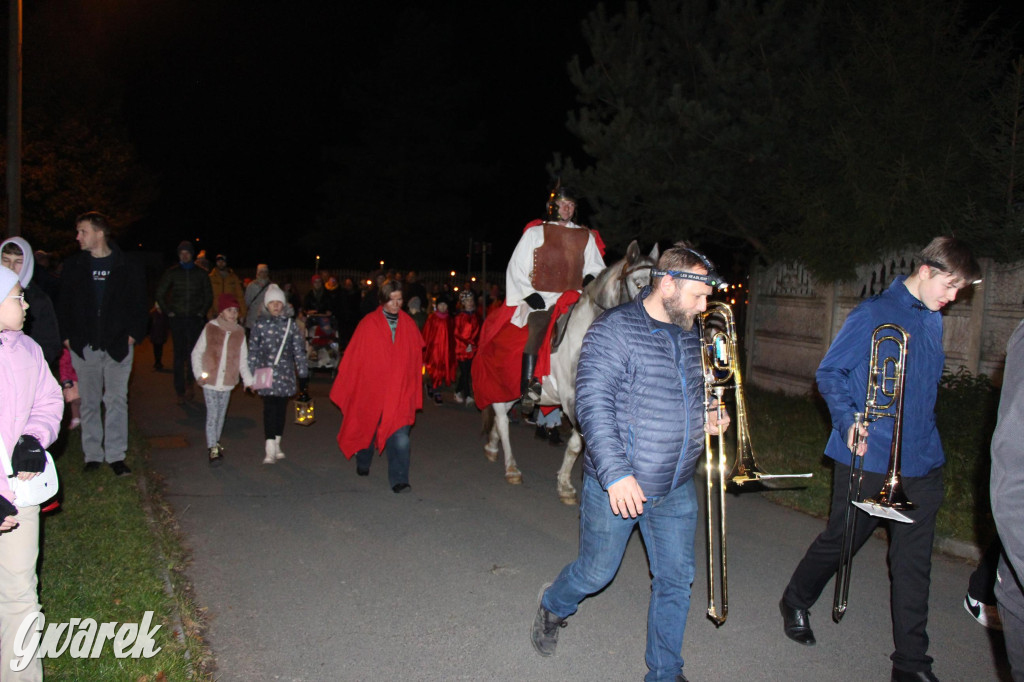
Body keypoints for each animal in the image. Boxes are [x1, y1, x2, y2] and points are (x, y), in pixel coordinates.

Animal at [483, 238, 659, 499]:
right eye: (638, 284)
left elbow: (576, 445)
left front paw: (565, 484)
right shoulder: (571, 398)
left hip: (512, 391)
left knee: (501, 415)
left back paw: (492, 447)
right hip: (499, 384)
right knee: (503, 420)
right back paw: (511, 467)